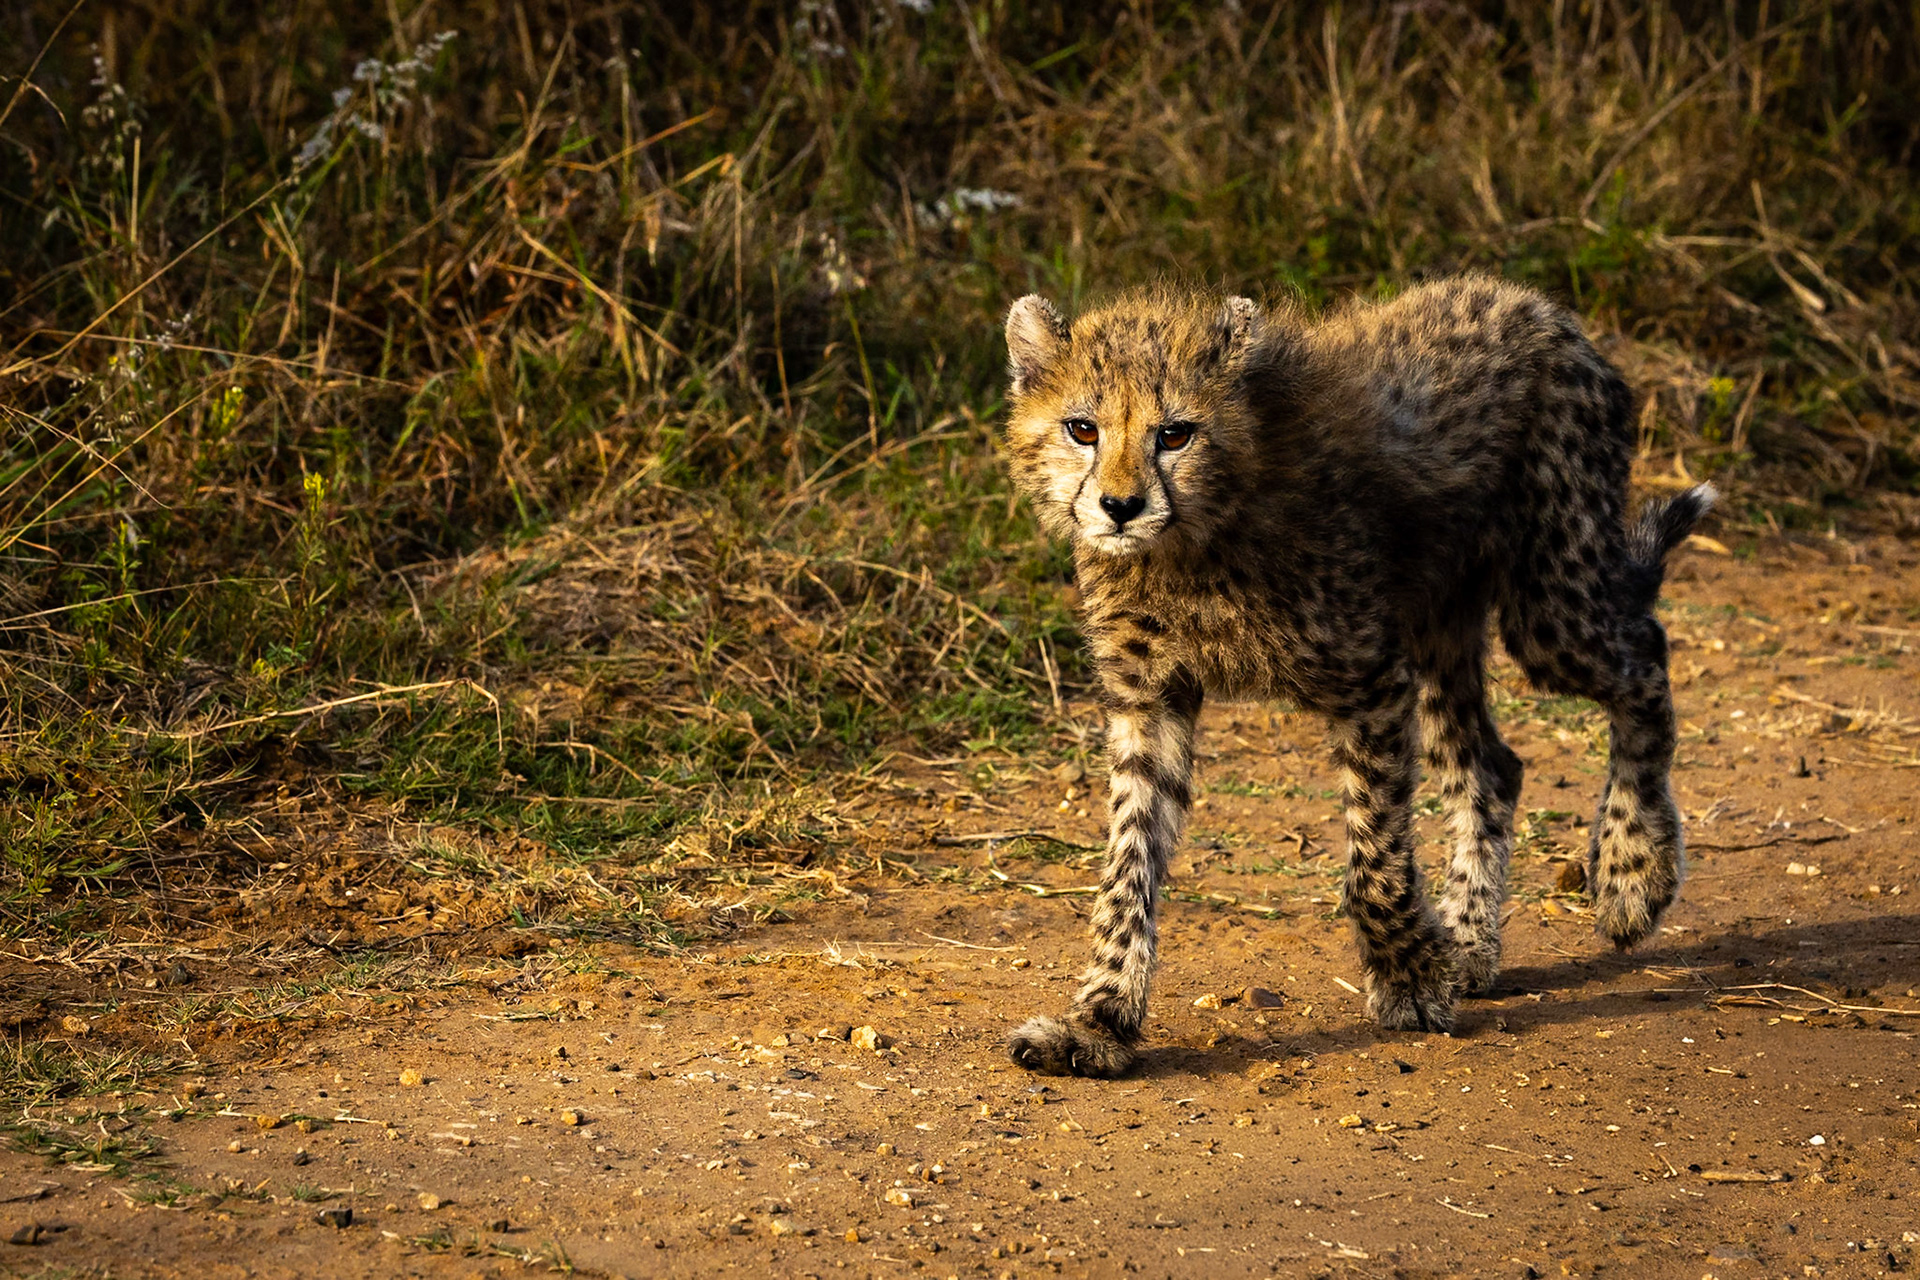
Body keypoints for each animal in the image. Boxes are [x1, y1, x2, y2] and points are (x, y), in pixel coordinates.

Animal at [998, 276, 1714, 1077]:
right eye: (1082, 429)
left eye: (1175, 434)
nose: (1121, 507)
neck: (1196, 537)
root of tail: (1534, 304)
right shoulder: (1149, 701)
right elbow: (1128, 866)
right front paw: (1099, 1021)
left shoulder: (1368, 682)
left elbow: (1374, 859)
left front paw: (1410, 979)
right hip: (1443, 624)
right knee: (1490, 764)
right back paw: (1471, 944)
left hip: (1550, 599)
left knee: (1644, 659)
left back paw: (1632, 873)